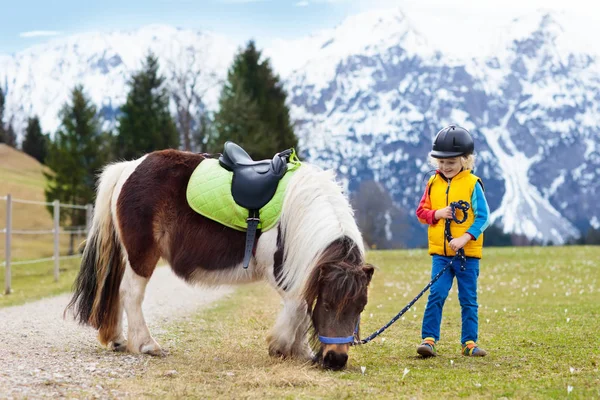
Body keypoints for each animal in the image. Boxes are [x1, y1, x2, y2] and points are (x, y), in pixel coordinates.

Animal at [67, 148, 376, 370]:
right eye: (328, 303)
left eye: (361, 306)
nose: (336, 360)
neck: (302, 212)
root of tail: (129, 167)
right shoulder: (285, 272)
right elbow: (299, 305)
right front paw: (285, 347)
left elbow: (300, 306)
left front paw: (298, 350)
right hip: (141, 255)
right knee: (130, 293)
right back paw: (146, 344)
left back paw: (118, 340)